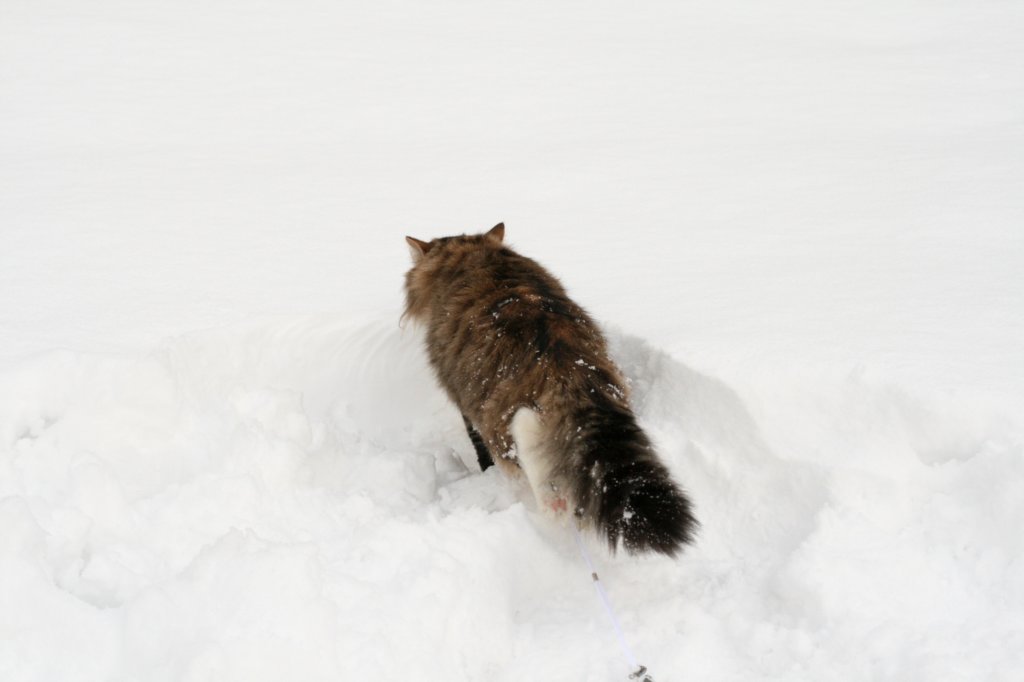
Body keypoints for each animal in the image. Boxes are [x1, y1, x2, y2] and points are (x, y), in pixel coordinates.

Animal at [404, 223, 697, 556]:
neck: (477, 259)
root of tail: (567, 368)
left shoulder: (463, 402)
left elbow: (480, 450)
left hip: (509, 423)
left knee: (535, 466)